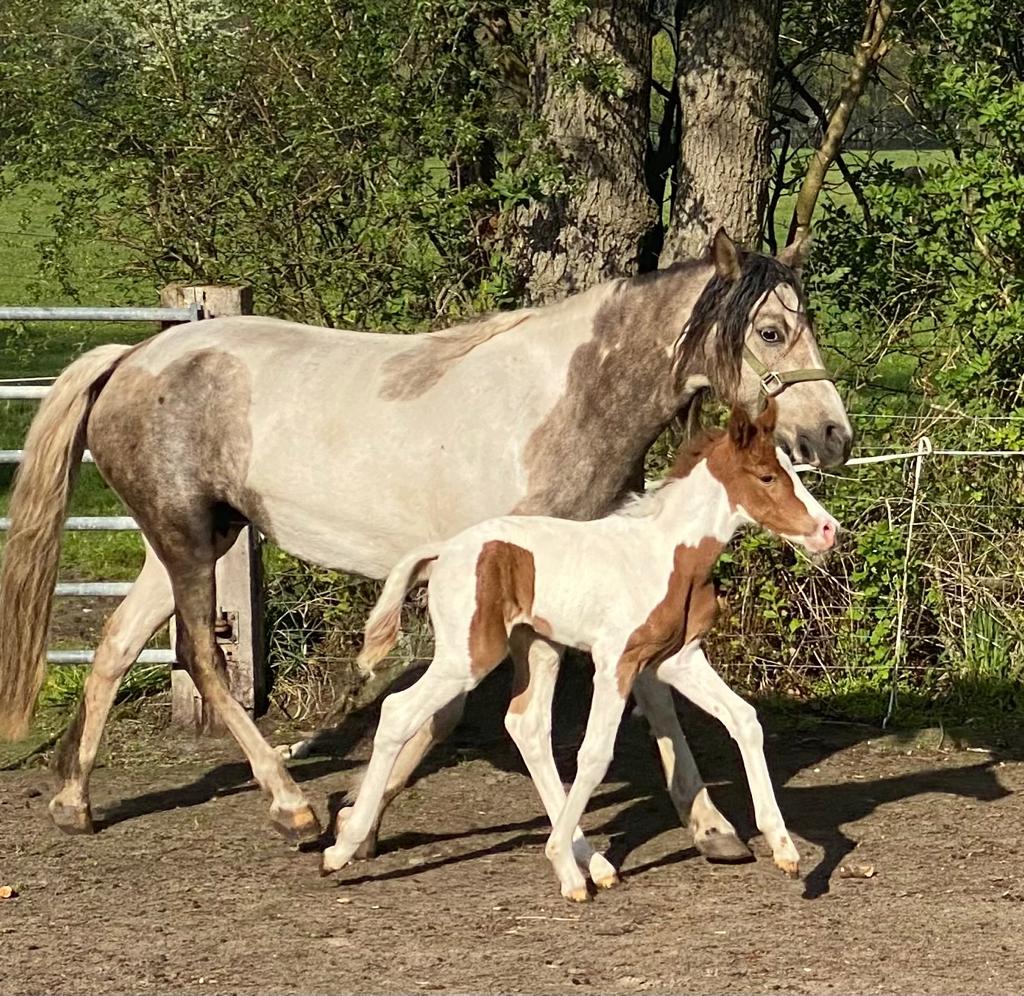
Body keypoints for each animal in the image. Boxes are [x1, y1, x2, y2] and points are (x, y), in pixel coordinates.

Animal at [321, 401, 839, 896]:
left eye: (793, 470)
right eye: (767, 476)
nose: (827, 530)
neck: (667, 555)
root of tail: (444, 550)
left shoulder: (679, 661)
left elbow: (744, 720)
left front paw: (786, 850)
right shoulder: (616, 663)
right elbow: (594, 756)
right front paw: (557, 861)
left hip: (540, 648)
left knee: (526, 727)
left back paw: (592, 865)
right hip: (467, 657)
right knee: (398, 711)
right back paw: (343, 847)